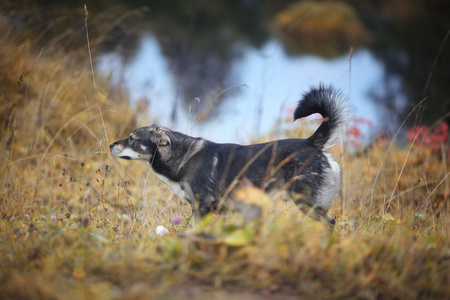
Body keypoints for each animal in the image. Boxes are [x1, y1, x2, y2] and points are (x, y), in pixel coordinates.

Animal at [110, 84, 350, 227]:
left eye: (132, 138)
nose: (111, 144)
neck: (184, 156)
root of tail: (312, 143)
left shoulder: (202, 207)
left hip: (307, 203)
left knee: (329, 224)